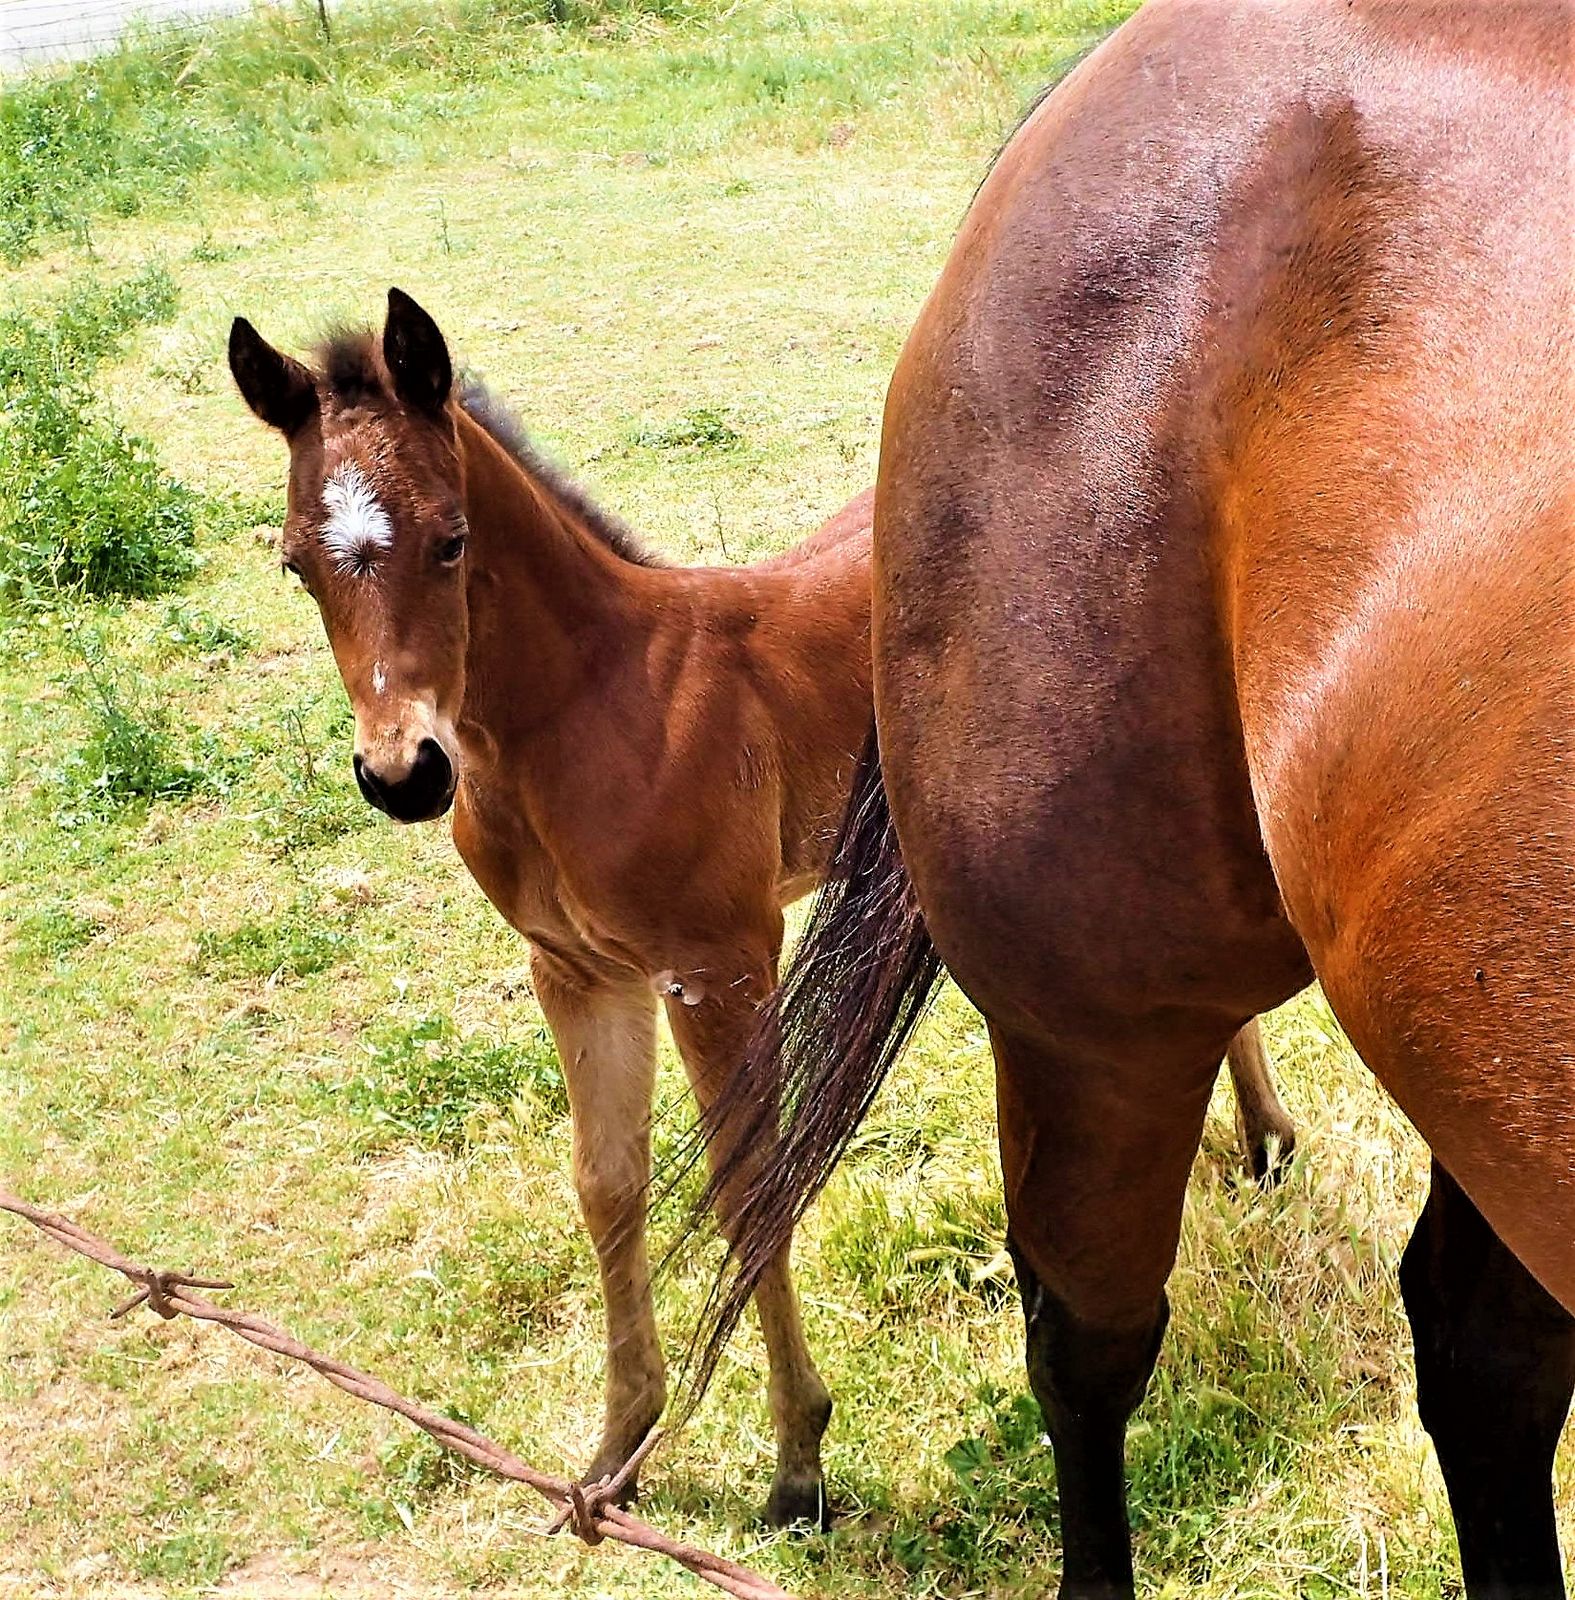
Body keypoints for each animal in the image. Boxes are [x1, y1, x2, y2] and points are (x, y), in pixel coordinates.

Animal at [226, 290, 1295, 1523]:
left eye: (452, 540)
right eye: (296, 566)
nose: (402, 774)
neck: (587, 708)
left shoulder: (720, 961)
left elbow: (749, 1185)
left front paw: (796, 1460)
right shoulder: (578, 971)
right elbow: (607, 1184)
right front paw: (618, 1450)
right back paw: (1263, 1140)